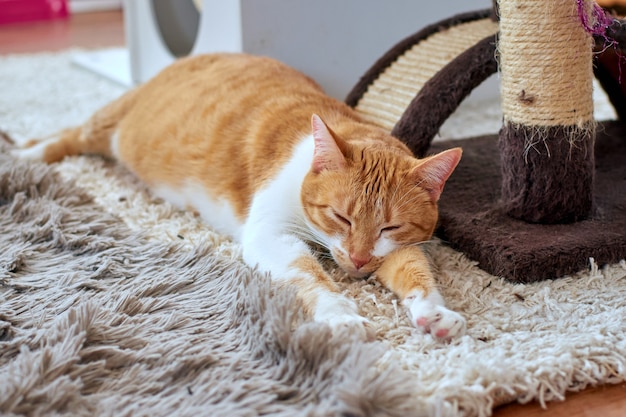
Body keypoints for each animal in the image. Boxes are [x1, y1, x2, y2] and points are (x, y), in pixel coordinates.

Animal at [14, 52, 464, 342]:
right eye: (341, 217)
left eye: (390, 226)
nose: (357, 259)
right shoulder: (272, 235)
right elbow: (309, 276)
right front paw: (339, 316)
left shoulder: (399, 248)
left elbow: (416, 273)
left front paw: (433, 313)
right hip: (110, 125)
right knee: (68, 135)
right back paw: (25, 154)